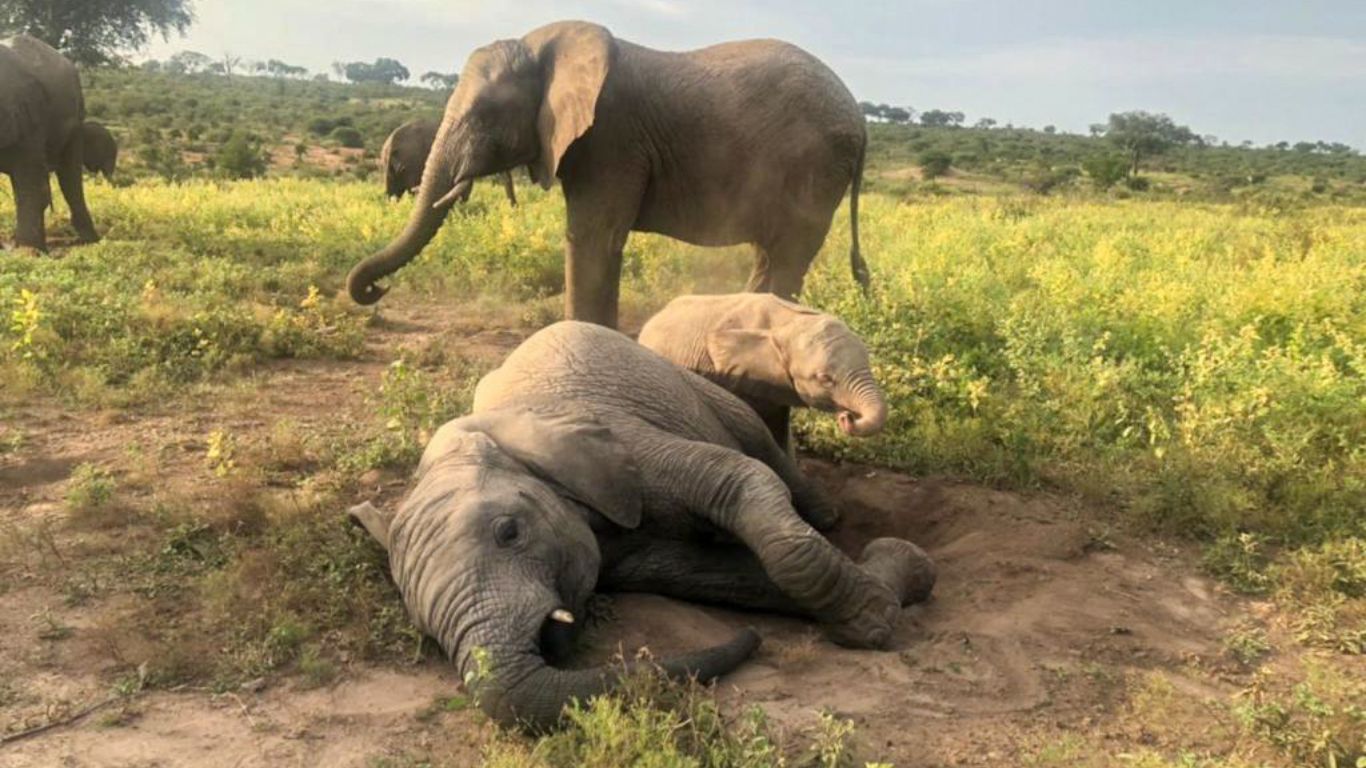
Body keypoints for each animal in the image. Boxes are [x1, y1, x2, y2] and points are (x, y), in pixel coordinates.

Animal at [0, 34, 99, 250]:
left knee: (69, 179)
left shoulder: (29, 116)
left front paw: (28, 252)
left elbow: (32, 184)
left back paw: (90, 241)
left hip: (76, 115)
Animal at [346, 319, 934, 727]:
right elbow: (710, 573)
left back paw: (824, 515)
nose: (752, 642)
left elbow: (736, 482)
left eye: (510, 532)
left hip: (702, 390)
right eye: (422, 624)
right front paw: (888, 588)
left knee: (760, 447)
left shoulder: (626, 442)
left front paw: (876, 612)